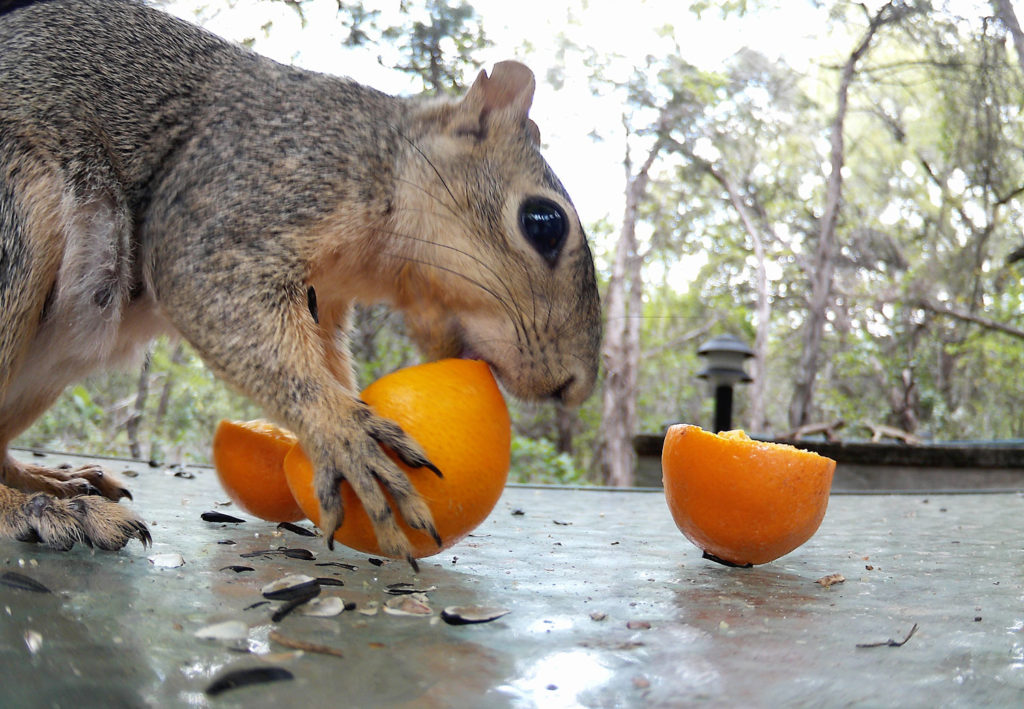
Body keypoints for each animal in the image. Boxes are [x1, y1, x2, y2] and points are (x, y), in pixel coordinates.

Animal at [0, 0, 602, 565]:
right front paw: (344, 433)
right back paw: (41, 508)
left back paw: (51, 480)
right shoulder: (251, 182)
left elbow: (328, 360)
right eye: (543, 223)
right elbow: (208, 282)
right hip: (17, 228)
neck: (383, 163)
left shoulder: (328, 300)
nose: (575, 388)